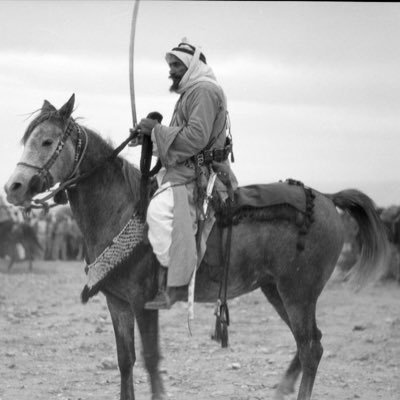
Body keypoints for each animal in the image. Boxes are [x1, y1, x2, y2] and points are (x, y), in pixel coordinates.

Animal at [3, 94, 390, 400]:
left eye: (47, 142)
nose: (13, 188)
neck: (121, 206)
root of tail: (326, 197)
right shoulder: (118, 303)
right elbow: (126, 362)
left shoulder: (144, 303)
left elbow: (150, 362)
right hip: (277, 291)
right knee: (310, 343)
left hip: (298, 293)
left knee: (310, 349)